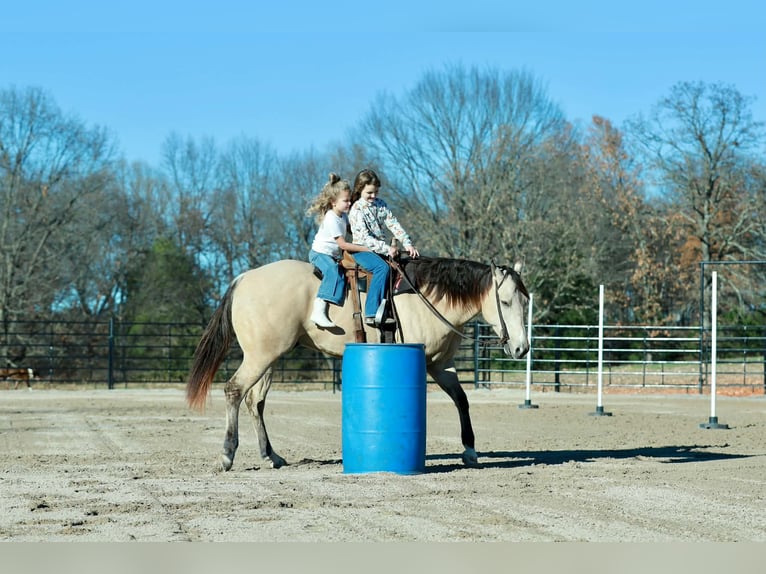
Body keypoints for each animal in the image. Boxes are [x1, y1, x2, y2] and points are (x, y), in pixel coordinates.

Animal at [186, 256, 529, 471]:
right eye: (505, 301)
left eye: (526, 301)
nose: (522, 348)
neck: (429, 297)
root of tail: (244, 278)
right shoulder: (424, 362)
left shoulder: (440, 365)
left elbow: (462, 400)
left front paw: (470, 451)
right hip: (260, 357)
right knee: (234, 391)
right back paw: (227, 455)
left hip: (268, 357)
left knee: (254, 401)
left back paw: (271, 456)